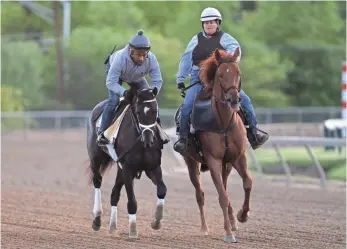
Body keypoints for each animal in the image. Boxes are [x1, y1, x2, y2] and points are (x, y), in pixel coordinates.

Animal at [87, 86, 168, 238]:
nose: (149, 139)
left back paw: (113, 226)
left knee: (114, 194)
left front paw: (156, 221)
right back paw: (97, 218)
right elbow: (132, 200)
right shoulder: (127, 169)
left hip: (120, 169)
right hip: (95, 158)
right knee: (97, 181)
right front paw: (133, 230)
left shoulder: (153, 167)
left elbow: (162, 190)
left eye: (155, 111)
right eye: (138, 112)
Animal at [179, 48, 253, 243]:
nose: (234, 99)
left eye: (238, 73)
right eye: (220, 75)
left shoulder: (238, 157)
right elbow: (221, 197)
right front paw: (228, 234)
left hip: (227, 165)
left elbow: (247, 183)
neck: (224, 124)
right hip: (191, 163)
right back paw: (205, 228)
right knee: (200, 194)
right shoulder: (213, 161)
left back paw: (234, 221)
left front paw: (243, 215)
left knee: (225, 187)